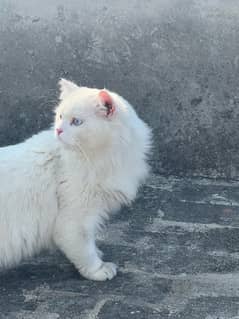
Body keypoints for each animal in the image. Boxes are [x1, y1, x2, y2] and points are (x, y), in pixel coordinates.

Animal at [0, 79, 151, 280]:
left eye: (76, 122)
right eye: (60, 116)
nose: (58, 130)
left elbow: (90, 241)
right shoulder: (74, 219)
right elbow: (84, 250)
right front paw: (99, 269)